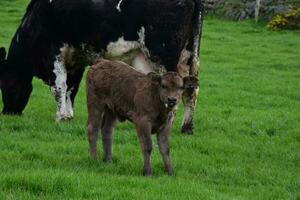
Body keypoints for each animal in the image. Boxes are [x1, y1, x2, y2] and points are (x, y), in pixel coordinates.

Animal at [0, 0, 204, 135]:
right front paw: (69, 116)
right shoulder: (77, 57)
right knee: (191, 90)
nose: (7, 112)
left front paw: (60, 117)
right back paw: (187, 127)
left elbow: (59, 86)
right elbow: (71, 88)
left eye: (4, 85)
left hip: (162, 53)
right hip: (187, 56)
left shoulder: (54, 52)